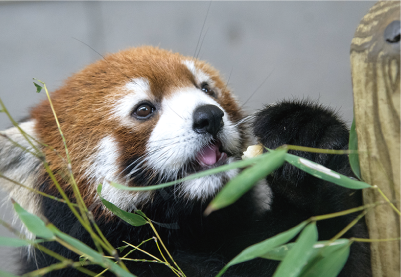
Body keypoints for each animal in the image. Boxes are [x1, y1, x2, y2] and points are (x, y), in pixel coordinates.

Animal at [0, 46, 370, 274]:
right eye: (144, 109)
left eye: (206, 89)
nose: (210, 117)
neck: (183, 231)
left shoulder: (257, 244)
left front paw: (303, 135)